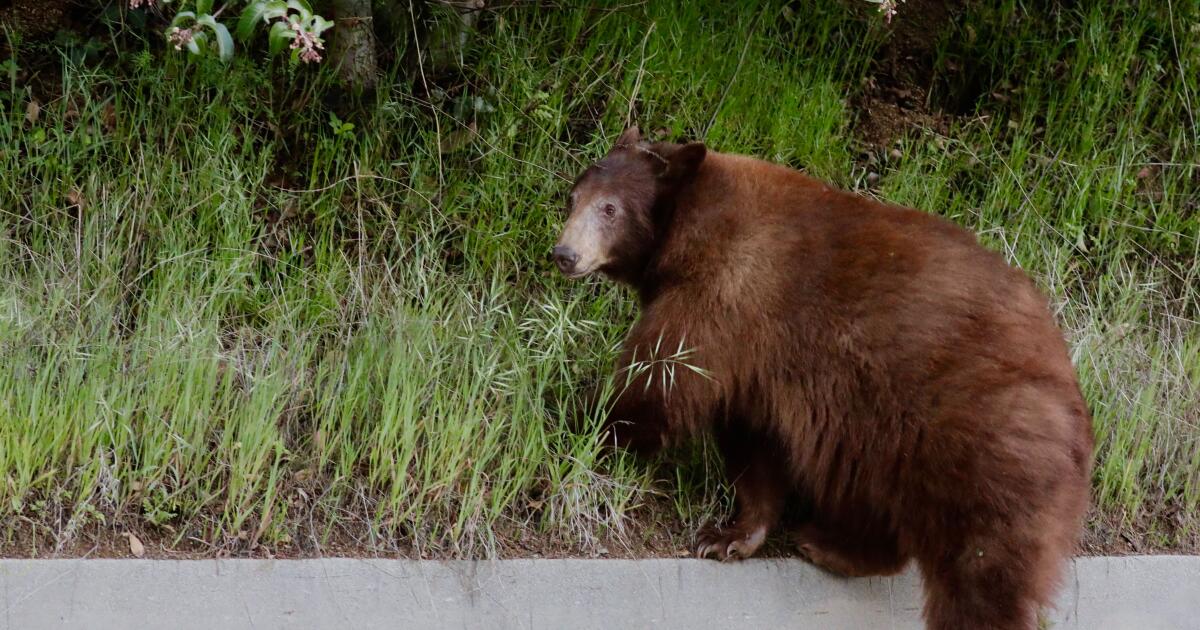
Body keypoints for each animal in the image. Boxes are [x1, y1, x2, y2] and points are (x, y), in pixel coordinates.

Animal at [552, 126, 1094, 630]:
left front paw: (584, 427)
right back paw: (828, 543)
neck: (687, 230)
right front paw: (729, 536)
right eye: (573, 198)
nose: (565, 253)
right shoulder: (757, 357)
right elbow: (753, 439)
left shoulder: (721, 293)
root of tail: (1074, 403)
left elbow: (661, 380)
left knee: (981, 567)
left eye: (610, 209)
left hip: (980, 444)